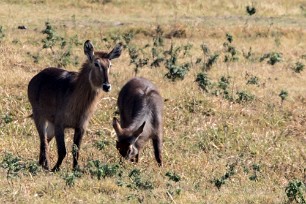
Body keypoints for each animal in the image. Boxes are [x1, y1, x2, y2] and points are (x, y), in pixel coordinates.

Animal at [27, 39, 122, 171]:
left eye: (110, 65)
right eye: (96, 64)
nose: (106, 86)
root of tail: (35, 78)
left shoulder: (81, 127)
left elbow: (76, 150)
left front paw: (76, 168)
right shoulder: (59, 125)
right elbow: (62, 150)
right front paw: (55, 169)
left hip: (50, 123)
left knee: (46, 140)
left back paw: (42, 163)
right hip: (39, 117)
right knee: (43, 141)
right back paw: (46, 165)